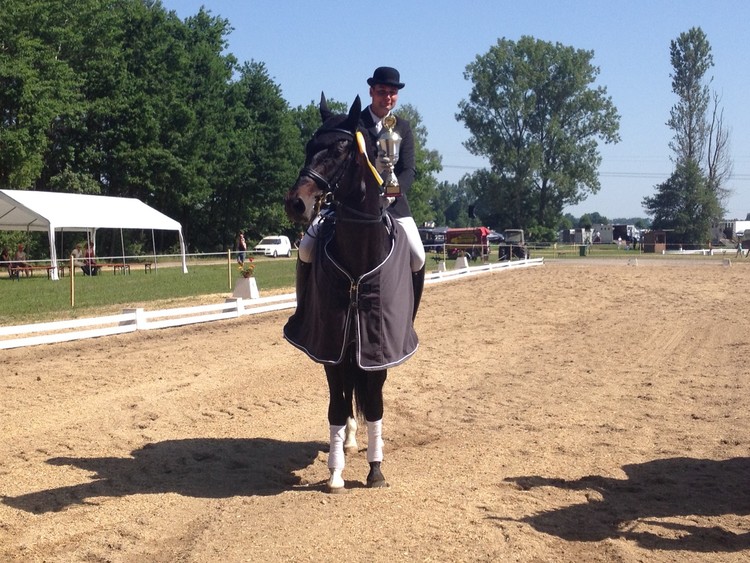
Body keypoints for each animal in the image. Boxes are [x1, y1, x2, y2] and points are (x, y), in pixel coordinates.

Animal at [284, 96, 420, 494]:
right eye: (309, 146)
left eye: (340, 149)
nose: (296, 203)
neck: (361, 253)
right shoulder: (330, 344)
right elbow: (336, 405)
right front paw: (335, 472)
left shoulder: (380, 348)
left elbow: (374, 404)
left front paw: (376, 469)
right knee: (345, 393)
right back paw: (347, 439)